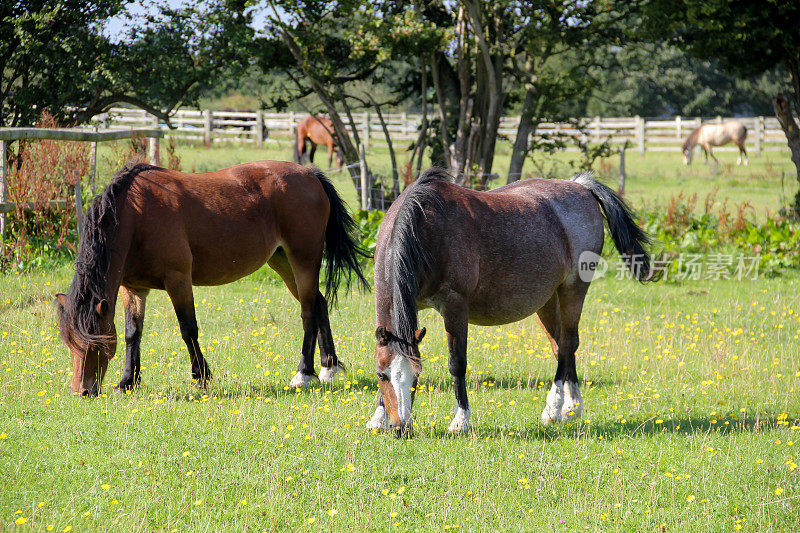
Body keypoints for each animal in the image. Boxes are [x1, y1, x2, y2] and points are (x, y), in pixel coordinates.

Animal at [54, 161, 368, 394]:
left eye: (95, 344)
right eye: (69, 344)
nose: (82, 391)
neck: (137, 215)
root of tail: (310, 174)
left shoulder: (178, 279)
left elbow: (188, 329)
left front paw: (201, 377)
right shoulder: (134, 288)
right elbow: (134, 333)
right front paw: (127, 382)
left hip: (303, 260)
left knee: (308, 312)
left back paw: (304, 373)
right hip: (282, 261)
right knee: (319, 303)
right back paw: (329, 366)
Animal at [368, 168, 656, 434]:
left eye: (416, 376)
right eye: (382, 375)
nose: (400, 428)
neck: (425, 229)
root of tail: (580, 187)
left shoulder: (455, 306)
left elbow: (457, 364)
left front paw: (460, 421)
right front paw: (378, 418)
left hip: (573, 289)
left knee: (568, 344)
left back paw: (558, 408)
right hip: (548, 300)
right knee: (561, 346)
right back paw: (569, 408)